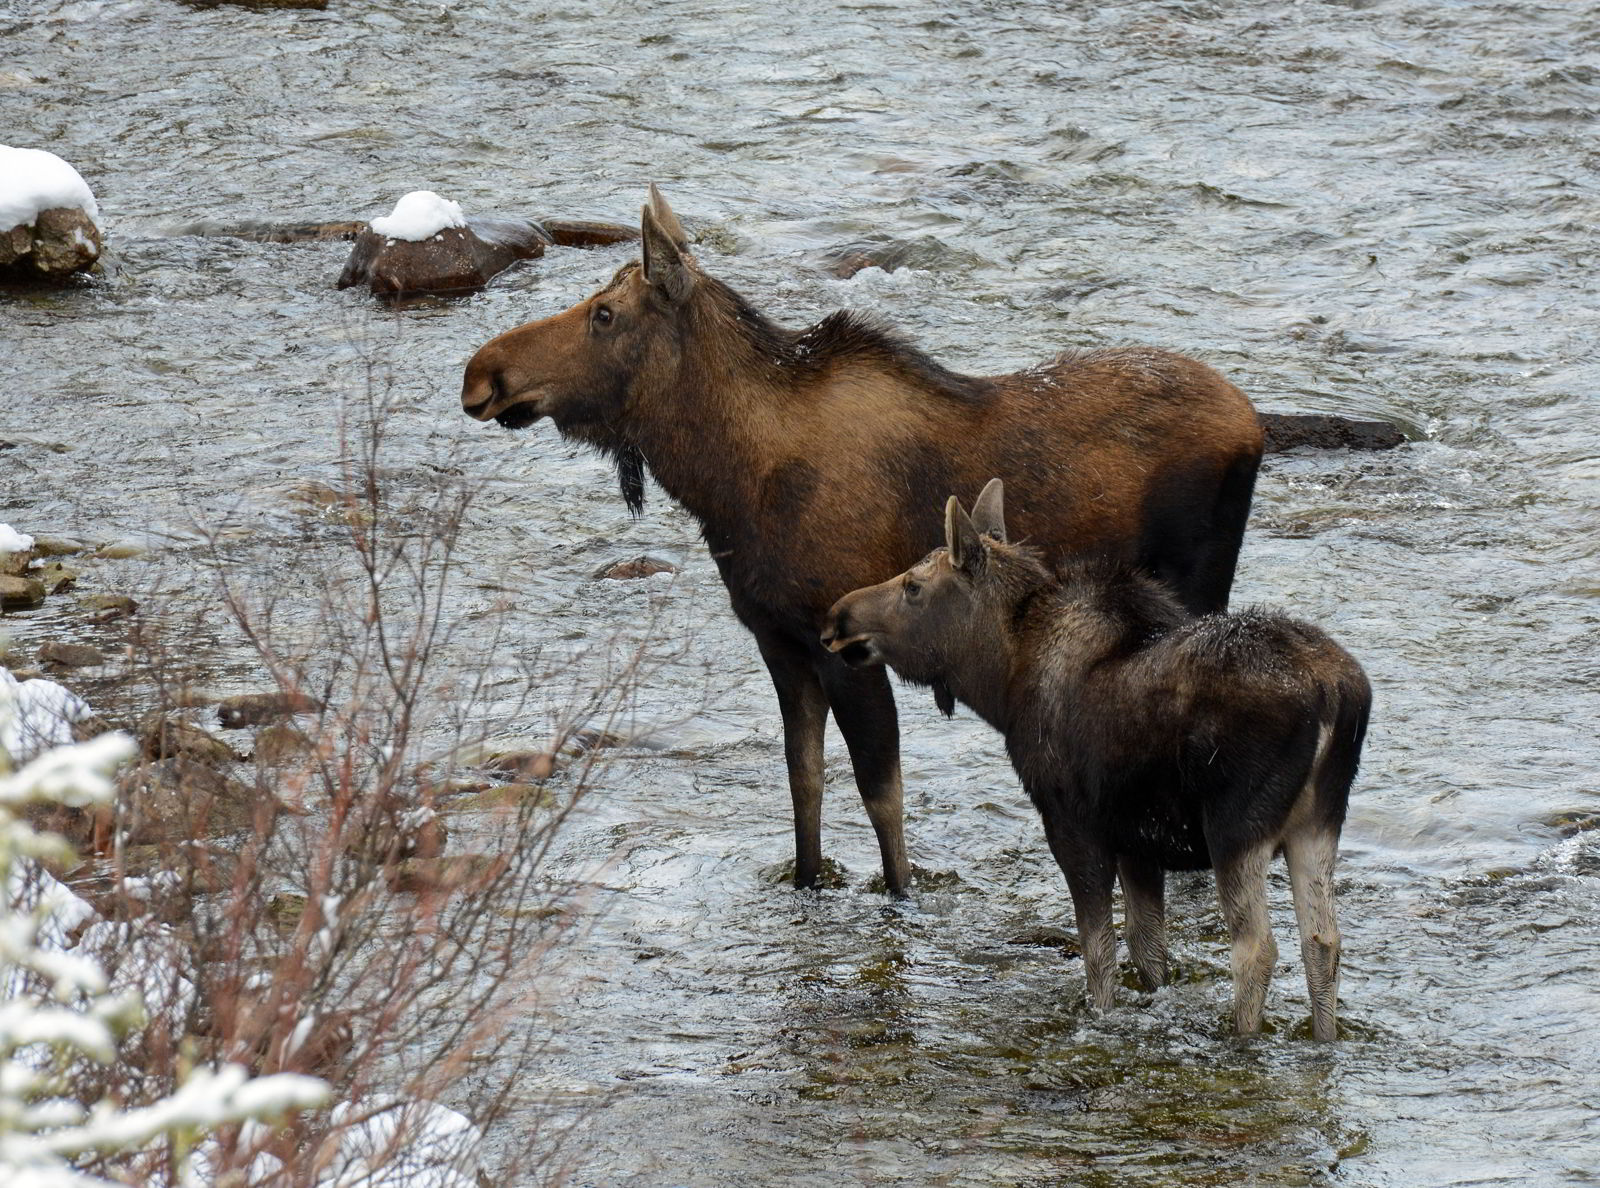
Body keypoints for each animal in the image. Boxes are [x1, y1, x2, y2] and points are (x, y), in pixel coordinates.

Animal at [460, 184, 1260, 896]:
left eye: (604, 314)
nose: (481, 372)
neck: (725, 481)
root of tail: (1255, 427)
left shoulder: (847, 645)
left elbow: (883, 797)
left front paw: (901, 896)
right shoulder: (778, 641)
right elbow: (804, 780)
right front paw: (808, 882)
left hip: (1195, 584)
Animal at [825, 480, 1376, 1043]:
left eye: (913, 586)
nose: (837, 617)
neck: (1000, 681)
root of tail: (1336, 694)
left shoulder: (1072, 825)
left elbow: (1098, 952)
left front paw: (1100, 1017)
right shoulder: (1138, 841)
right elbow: (1148, 947)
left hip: (1236, 828)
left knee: (1257, 948)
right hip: (1318, 822)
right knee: (1323, 940)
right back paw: (1325, 1038)